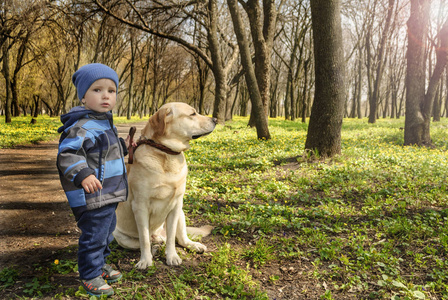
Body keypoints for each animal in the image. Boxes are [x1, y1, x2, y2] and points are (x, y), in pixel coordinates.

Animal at [113, 102, 216, 268]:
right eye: (193, 114)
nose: (216, 119)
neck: (167, 154)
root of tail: (158, 235)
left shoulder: (176, 205)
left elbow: (172, 238)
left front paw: (172, 256)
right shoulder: (140, 206)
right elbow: (144, 239)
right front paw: (145, 260)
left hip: (181, 213)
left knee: (180, 239)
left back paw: (193, 245)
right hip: (120, 236)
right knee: (145, 242)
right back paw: (154, 247)